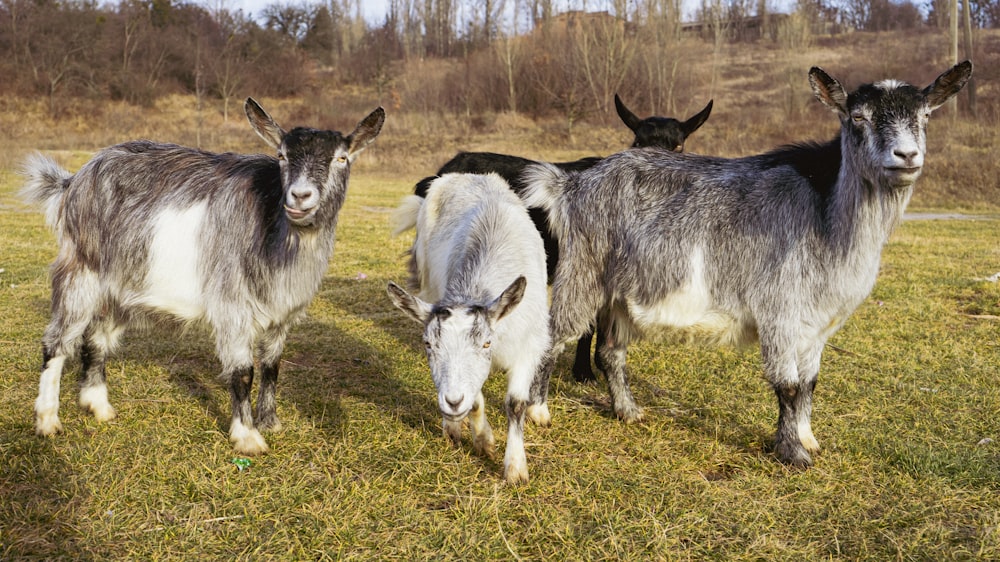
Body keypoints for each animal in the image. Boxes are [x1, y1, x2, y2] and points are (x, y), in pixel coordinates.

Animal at [20, 98, 386, 452]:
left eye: (342, 158)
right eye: (281, 155)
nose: (300, 196)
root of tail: (74, 181)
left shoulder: (281, 314)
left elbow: (272, 366)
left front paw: (270, 422)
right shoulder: (232, 303)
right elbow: (243, 371)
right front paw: (248, 436)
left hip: (122, 285)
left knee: (96, 337)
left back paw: (98, 406)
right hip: (82, 270)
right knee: (57, 341)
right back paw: (48, 420)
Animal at [386, 173, 552, 484]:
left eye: (486, 343)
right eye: (428, 344)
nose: (451, 402)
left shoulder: (529, 345)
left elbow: (516, 403)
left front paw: (515, 468)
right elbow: (474, 401)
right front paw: (484, 441)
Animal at [520, 60, 972, 464]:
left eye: (925, 116)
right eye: (858, 118)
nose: (906, 156)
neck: (825, 217)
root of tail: (573, 183)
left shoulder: (817, 324)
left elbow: (810, 384)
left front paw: (808, 439)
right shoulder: (779, 310)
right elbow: (788, 386)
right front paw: (792, 454)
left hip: (619, 291)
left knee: (610, 352)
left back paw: (628, 412)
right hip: (583, 271)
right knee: (554, 335)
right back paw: (539, 411)